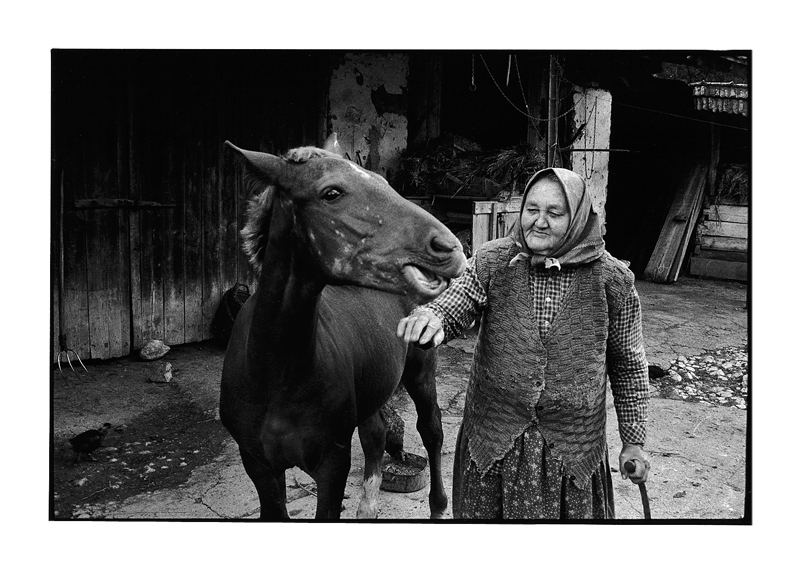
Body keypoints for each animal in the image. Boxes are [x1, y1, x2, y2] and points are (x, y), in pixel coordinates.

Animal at [220, 138, 468, 520]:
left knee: (432, 431)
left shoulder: (332, 465)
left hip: (421, 372)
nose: (450, 248)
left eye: (382, 182)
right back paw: (368, 506)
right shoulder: (259, 466)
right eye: (331, 193)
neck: (275, 376)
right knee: (376, 434)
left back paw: (439, 508)